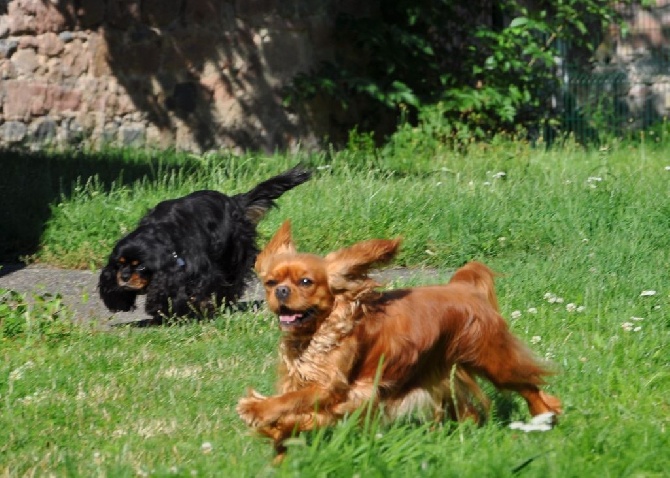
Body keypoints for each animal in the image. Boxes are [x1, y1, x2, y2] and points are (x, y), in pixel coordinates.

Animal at [99, 166, 312, 324]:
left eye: (141, 267)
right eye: (119, 264)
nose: (124, 277)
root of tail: (234, 201)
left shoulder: (198, 271)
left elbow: (193, 292)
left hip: (233, 255)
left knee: (232, 282)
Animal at [236, 222, 560, 458]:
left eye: (306, 282)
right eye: (271, 283)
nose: (281, 292)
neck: (315, 335)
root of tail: (464, 288)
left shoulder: (336, 388)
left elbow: (294, 402)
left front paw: (258, 410)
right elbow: (293, 409)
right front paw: (278, 434)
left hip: (492, 360)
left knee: (530, 387)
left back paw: (544, 415)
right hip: (441, 373)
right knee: (469, 410)